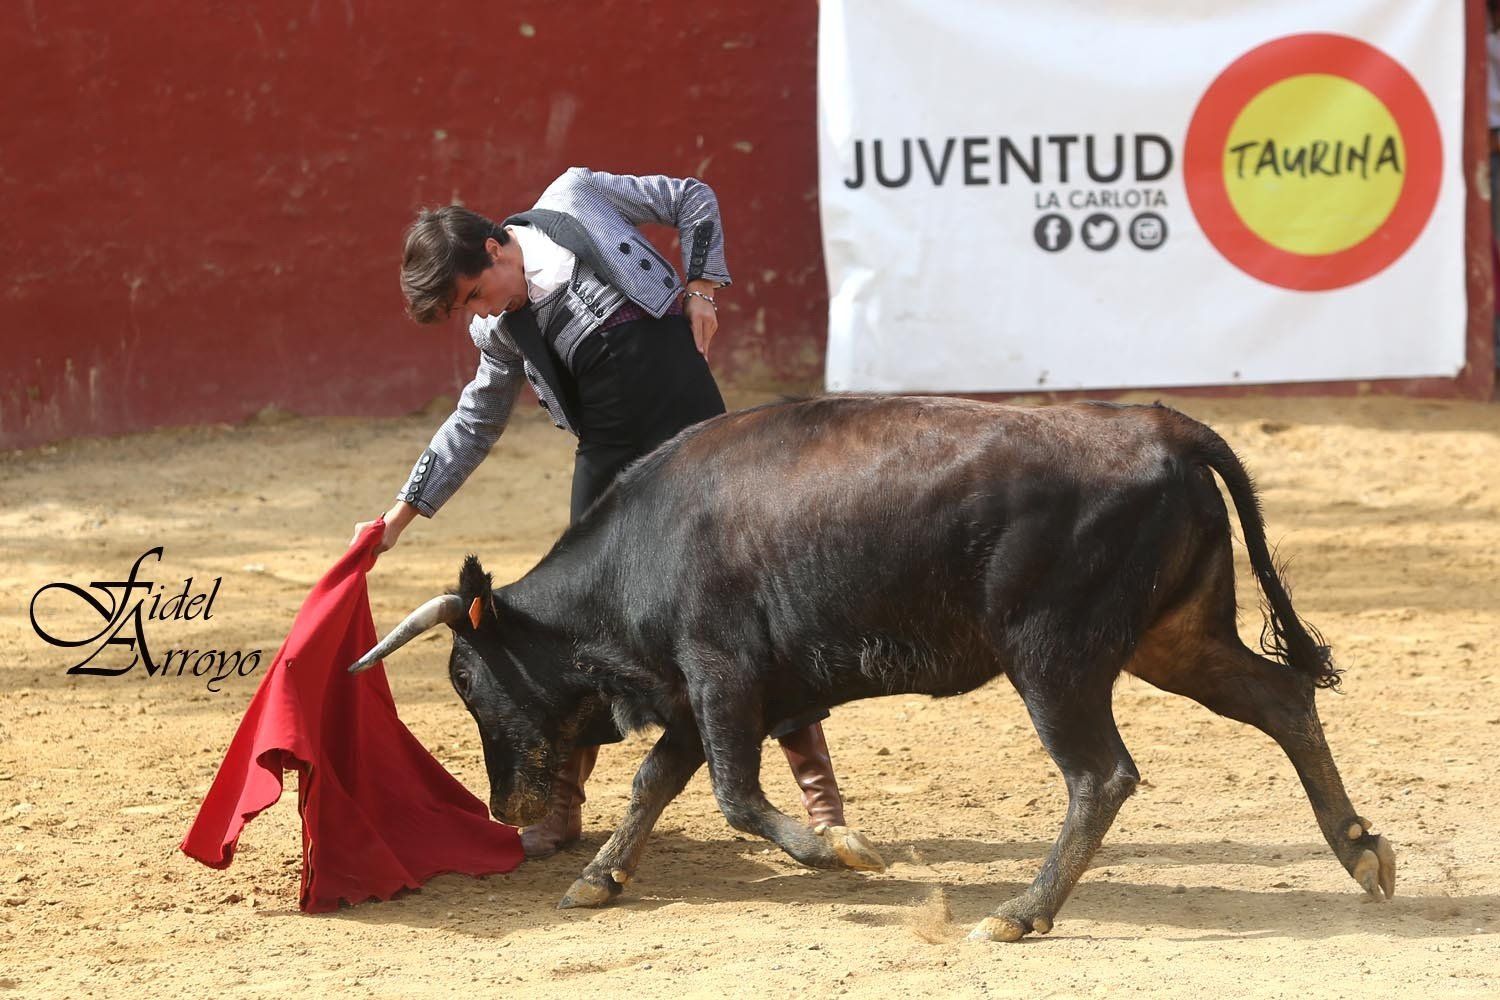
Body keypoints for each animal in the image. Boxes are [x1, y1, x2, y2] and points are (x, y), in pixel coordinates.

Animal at [350, 394, 1395, 942]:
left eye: (465, 680)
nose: (505, 811)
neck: (644, 545)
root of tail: (1160, 424)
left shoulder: (720, 674)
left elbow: (731, 794)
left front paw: (841, 852)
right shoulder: (703, 690)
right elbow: (656, 782)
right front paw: (600, 879)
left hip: (1053, 661)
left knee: (1102, 775)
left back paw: (1023, 912)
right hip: (1174, 640)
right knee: (1281, 697)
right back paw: (1362, 851)